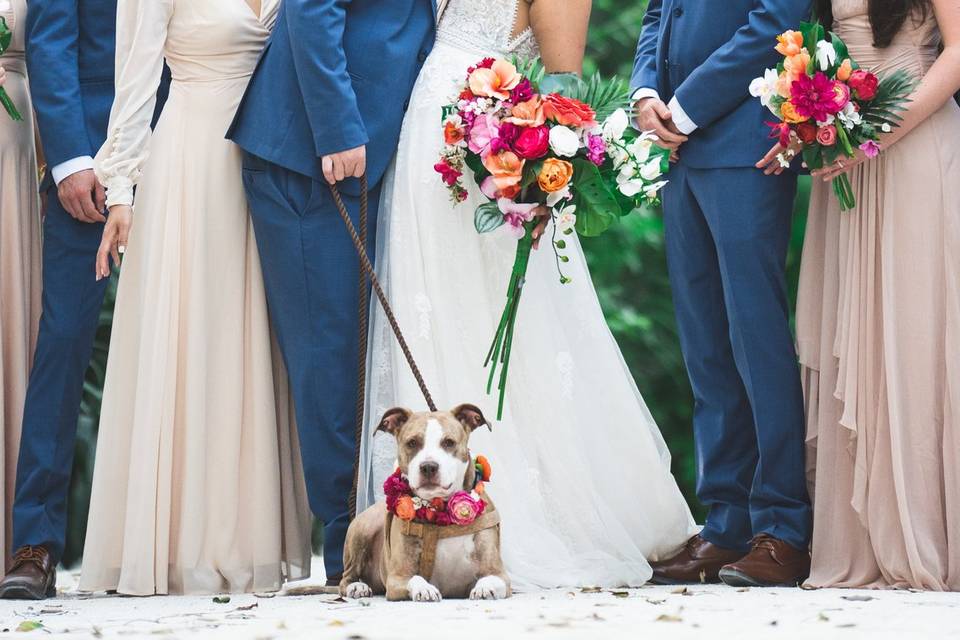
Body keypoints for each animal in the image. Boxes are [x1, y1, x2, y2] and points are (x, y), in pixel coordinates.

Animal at [338, 402, 510, 604]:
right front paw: (425, 589)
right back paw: (358, 587)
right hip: (363, 527)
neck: (441, 511)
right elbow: (416, 578)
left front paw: (484, 588)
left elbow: (490, 578)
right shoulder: (398, 577)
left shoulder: (499, 573)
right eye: (412, 443)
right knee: (346, 577)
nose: (428, 466)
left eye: (449, 442)